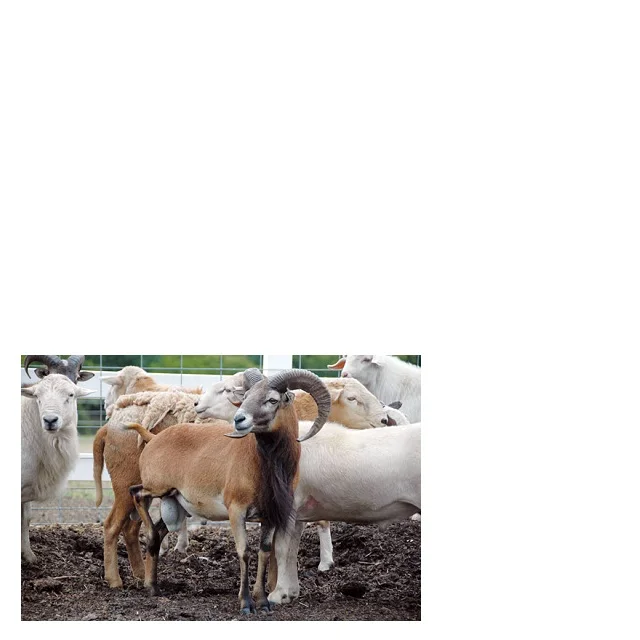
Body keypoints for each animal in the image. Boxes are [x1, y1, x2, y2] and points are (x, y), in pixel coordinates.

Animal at [94, 372, 244, 588]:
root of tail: (109, 426)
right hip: (125, 485)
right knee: (112, 526)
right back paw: (115, 580)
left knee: (131, 529)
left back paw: (141, 573)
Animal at [126, 368, 330, 614]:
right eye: (246, 396)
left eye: (272, 400)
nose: (239, 419)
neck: (263, 469)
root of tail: (153, 438)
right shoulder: (236, 512)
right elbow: (244, 552)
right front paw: (245, 604)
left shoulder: (270, 516)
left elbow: (264, 552)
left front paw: (262, 602)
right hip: (157, 488)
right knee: (136, 494)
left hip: (174, 500)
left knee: (157, 530)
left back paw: (153, 587)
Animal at [268, 420, 421, 605]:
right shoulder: (298, 515)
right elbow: (292, 550)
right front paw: (291, 593)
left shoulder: (289, 507)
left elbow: (281, 549)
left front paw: (278, 594)